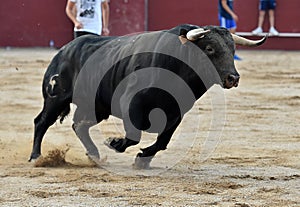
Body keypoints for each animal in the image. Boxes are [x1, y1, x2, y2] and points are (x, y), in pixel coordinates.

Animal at [28, 24, 268, 169]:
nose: (233, 78)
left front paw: (142, 160)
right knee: (42, 122)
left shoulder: (177, 112)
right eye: (209, 48)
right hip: (56, 98)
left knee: (79, 125)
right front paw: (114, 143)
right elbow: (134, 135)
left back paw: (94, 155)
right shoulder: (130, 103)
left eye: (232, 50)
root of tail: (64, 50)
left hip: (97, 106)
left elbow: (163, 141)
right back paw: (36, 157)